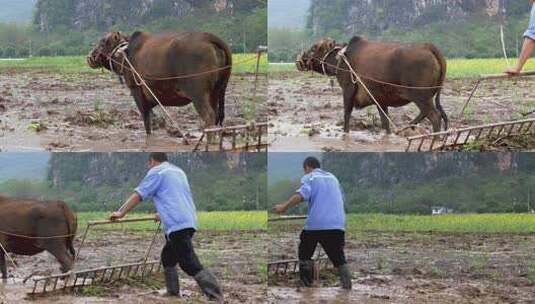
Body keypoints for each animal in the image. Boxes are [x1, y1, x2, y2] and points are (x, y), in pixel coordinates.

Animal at [87, 31, 231, 135]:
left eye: (103, 42)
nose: (89, 57)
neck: (123, 54)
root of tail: (210, 38)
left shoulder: (136, 91)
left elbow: (146, 121)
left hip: (198, 94)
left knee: (209, 116)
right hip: (217, 91)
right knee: (217, 116)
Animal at [298, 36, 448, 133]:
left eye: (314, 47)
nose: (300, 60)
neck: (340, 59)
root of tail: (429, 47)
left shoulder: (348, 90)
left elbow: (347, 115)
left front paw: (345, 133)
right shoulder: (380, 100)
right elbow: (385, 123)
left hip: (420, 96)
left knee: (435, 117)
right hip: (426, 97)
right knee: (427, 114)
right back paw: (408, 127)